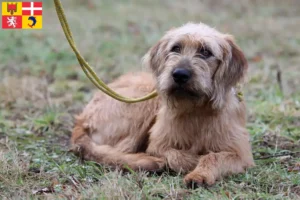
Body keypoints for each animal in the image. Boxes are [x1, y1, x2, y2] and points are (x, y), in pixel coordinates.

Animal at [71, 22, 254, 187]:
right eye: (176, 48)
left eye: (205, 51)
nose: (179, 74)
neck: (196, 109)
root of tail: (82, 118)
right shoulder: (158, 145)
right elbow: (176, 156)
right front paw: (193, 161)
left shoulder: (240, 154)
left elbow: (214, 156)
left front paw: (200, 173)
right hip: (145, 102)